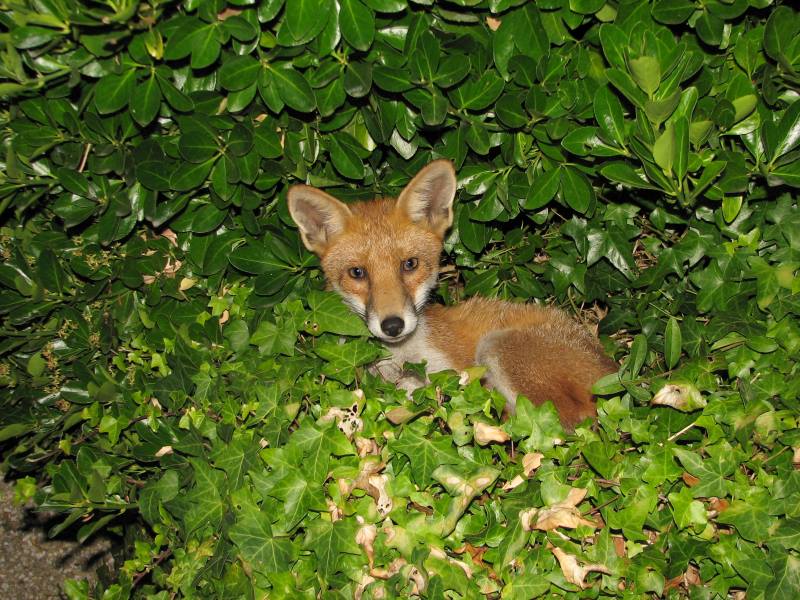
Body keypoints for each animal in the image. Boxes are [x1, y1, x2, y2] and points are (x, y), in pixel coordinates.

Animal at [287, 159, 617, 429]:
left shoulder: (453, 371)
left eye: (410, 264)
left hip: (498, 347)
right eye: (357, 273)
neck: (399, 358)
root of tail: (615, 375)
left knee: (562, 423)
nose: (392, 325)